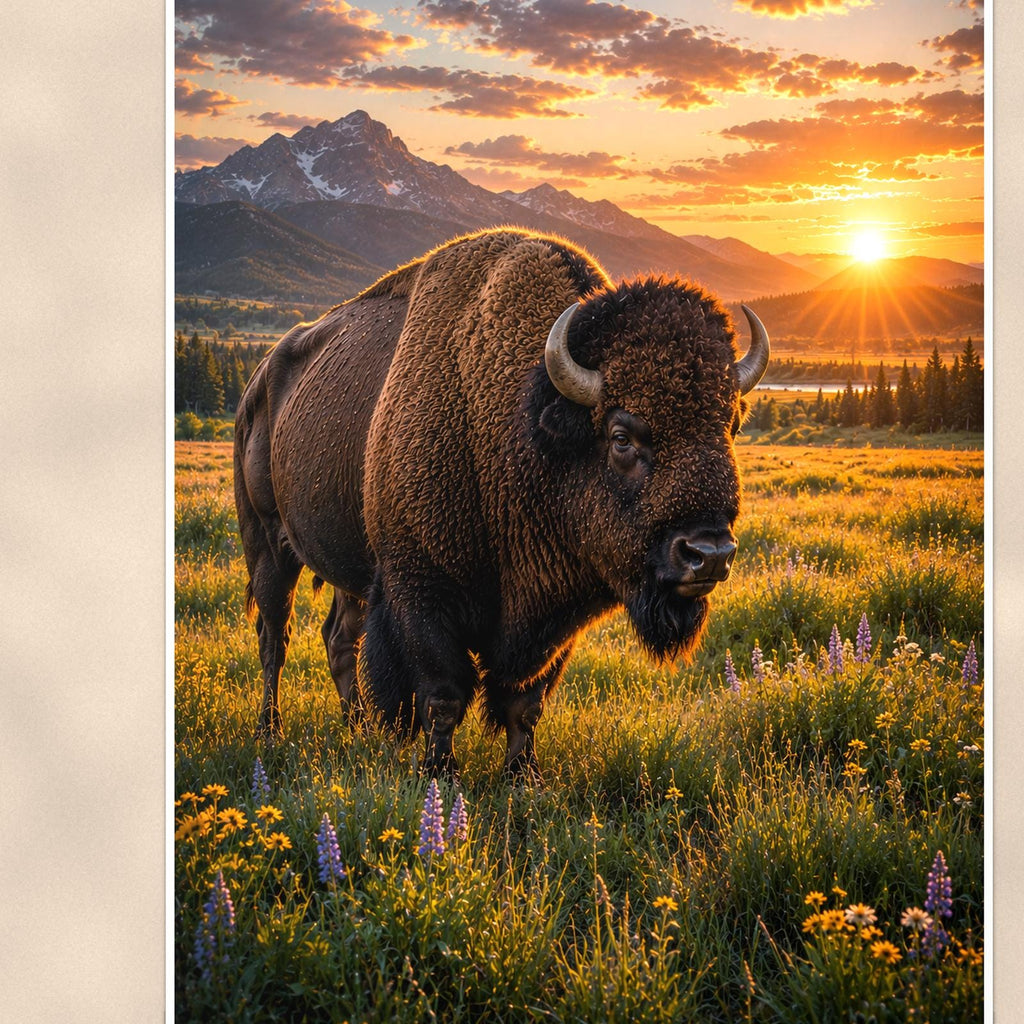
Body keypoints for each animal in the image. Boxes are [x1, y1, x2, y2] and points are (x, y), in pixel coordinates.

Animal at [234, 228, 769, 780]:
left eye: (730, 426)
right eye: (622, 437)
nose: (709, 555)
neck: (522, 427)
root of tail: (258, 380)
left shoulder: (553, 618)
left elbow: (525, 702)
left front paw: (523, 775)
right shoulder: (420, 593)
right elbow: (443, 695)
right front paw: (439, 773)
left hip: (349, 569)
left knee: (339, 637)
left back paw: (356, 727)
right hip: (267, 545)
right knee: (275, 637)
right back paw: (270, 731)